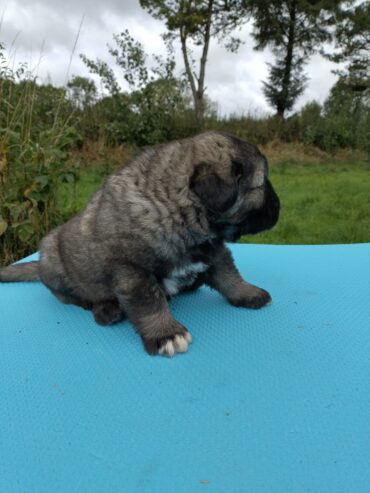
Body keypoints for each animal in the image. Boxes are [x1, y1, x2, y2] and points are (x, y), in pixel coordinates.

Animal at [0, 131, 278, 354]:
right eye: (262, 184)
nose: (279, 208)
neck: (175, 212)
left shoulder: (213, 251)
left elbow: (228, 275)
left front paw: (248, 292)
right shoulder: (132, 271)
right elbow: (150, 303)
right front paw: (166, 333)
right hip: (54, 259)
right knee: (74, 296)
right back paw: (105, 309)